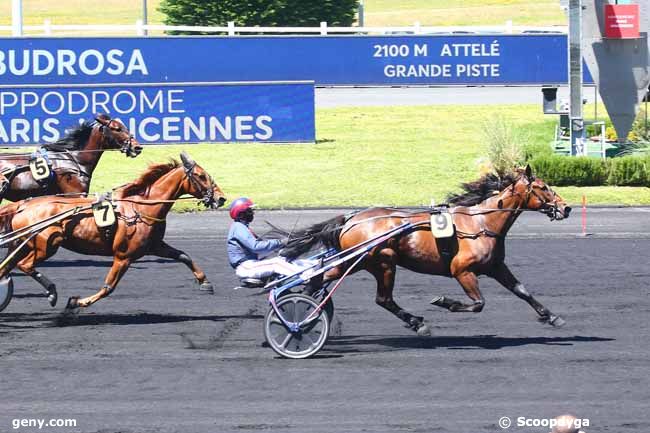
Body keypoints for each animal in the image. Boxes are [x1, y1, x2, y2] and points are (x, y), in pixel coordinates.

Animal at [286, 165, 568, 334]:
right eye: (543, 187)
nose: (566, 208)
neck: (481, 223)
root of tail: (351, 218)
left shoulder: (495, 266)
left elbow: (521, 290)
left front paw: (552, 316)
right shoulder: (462, 270)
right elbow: (478, 303)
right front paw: (446, 302)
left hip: (356, 262)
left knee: (321, 278)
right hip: (382, 262)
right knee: (383, 299)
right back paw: (416, 322)